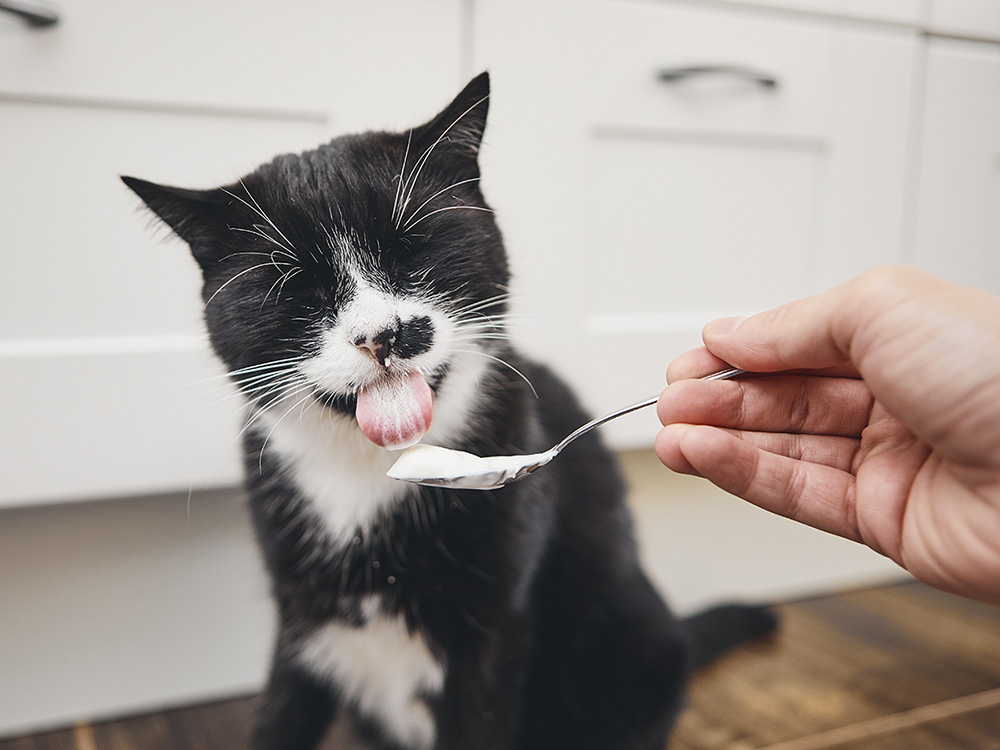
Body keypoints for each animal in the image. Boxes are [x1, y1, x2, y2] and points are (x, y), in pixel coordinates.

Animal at [125, 72, 776, 750]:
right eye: (298, 288)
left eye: (414, 249)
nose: (384, 333)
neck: (372, 472)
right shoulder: (300, 620)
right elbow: (282, 716)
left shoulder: (492, 635)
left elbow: (477, 719)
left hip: (637, 651)